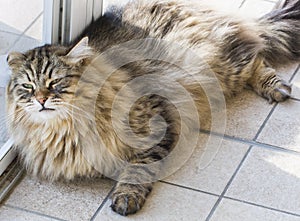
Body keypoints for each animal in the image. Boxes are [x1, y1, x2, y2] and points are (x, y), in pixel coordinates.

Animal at [4, 0, 300, 216]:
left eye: (55, 82)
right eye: (28, 87)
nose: (41, 100)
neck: (66, 129)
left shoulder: (156, 120)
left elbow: (138, 168)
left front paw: (125, 197)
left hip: (222, 68)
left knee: (258, 55)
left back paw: (277, 88)